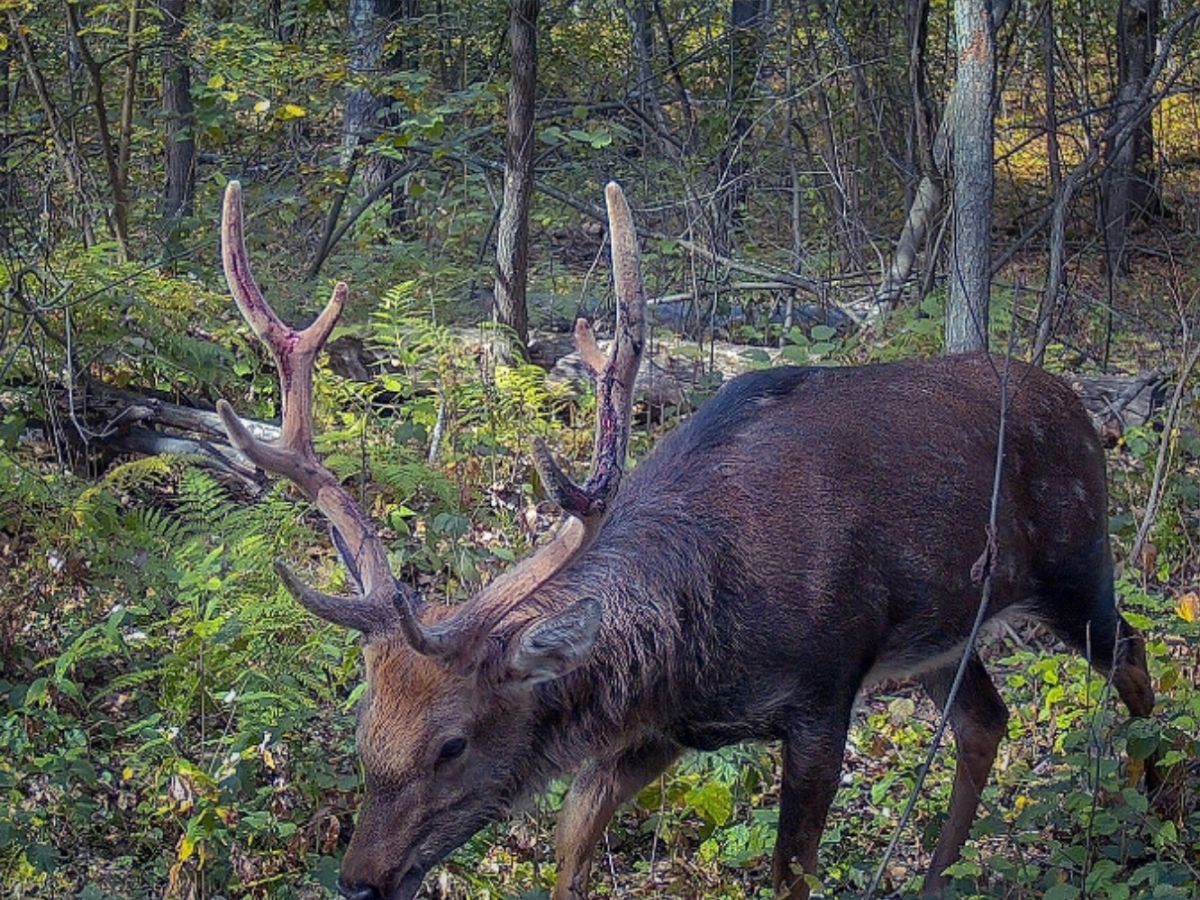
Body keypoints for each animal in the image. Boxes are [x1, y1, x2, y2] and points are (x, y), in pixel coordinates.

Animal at [213, 183, 1152, 900]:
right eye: (363, 727)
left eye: (452, 744)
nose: (359, 879)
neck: (701, 640)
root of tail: (1084, 408)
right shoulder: (655, 733)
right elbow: (569, 851)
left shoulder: (823, 692)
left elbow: (789, 874)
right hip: (939, 639)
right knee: (987, 720)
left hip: (1077, 561)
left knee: (1133, 657)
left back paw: (1149, 812)